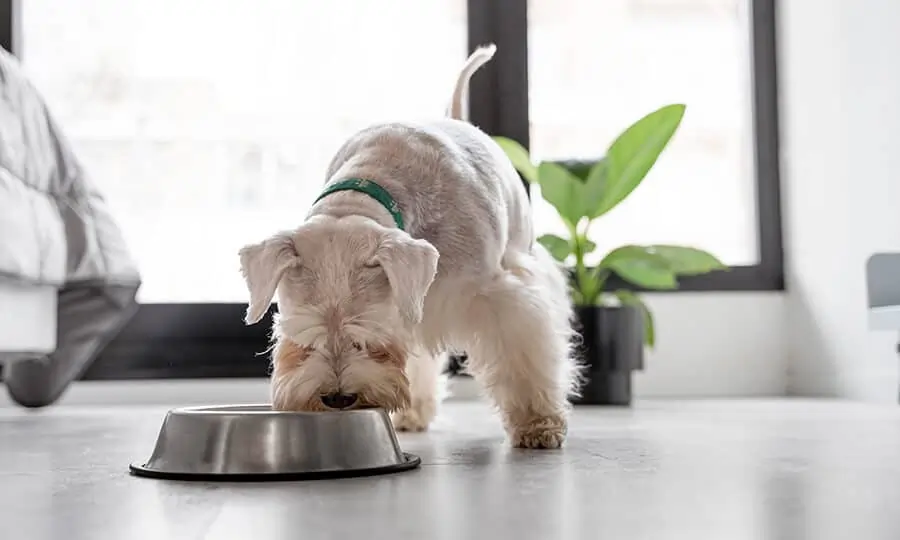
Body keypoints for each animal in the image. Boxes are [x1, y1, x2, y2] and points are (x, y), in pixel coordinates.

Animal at [236, 43, 580, 448]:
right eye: (304, 338)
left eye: (367, 337)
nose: (338, 398)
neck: (370, 184)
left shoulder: (497, 296)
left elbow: (521, 353)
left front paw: (537, 424)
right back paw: (412, 413)